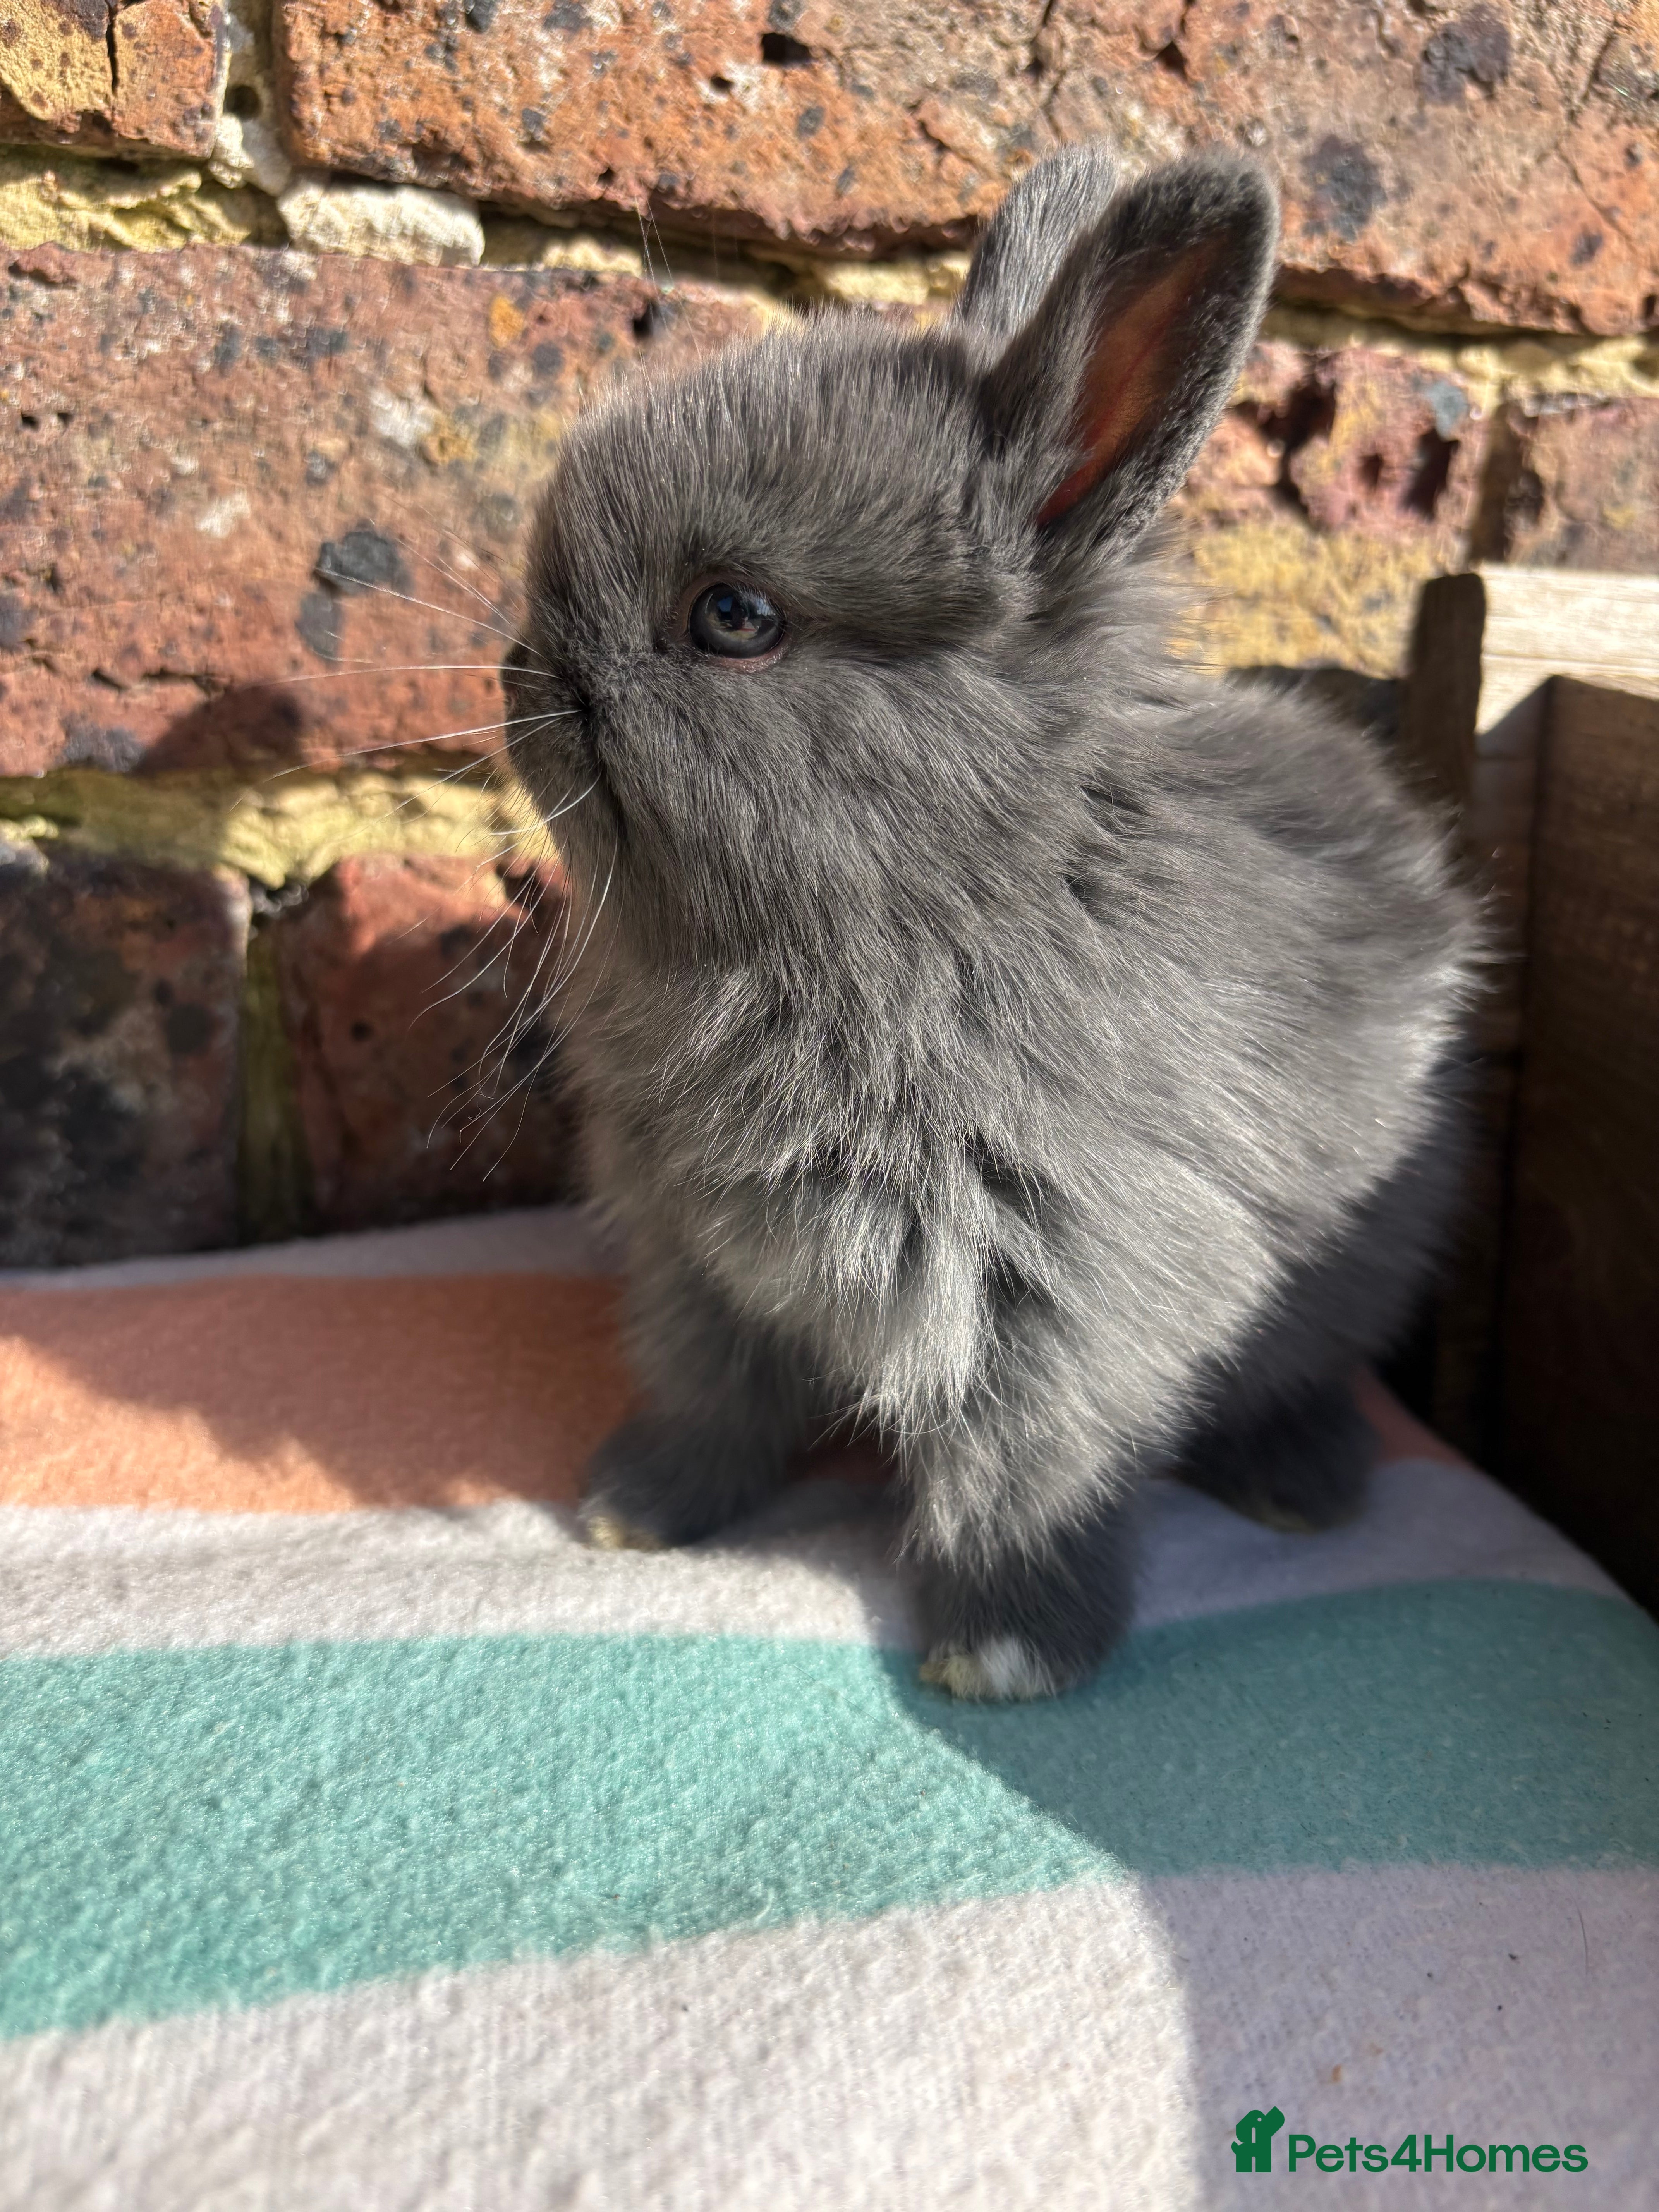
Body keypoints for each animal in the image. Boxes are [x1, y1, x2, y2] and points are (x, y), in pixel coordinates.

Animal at [502, 142, 1480, 1700]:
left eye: (733, 616)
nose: (519, 667)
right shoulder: (698, 1267)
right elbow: (708, 1402)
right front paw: (630, 1513)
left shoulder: (1067, 1296)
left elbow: (1025, 1478)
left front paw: (1005, 1653)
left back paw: (1300, 1486)